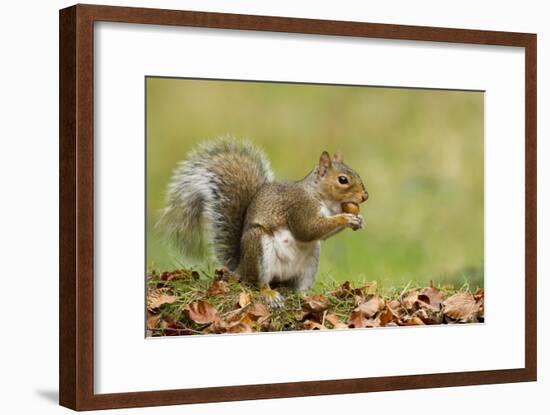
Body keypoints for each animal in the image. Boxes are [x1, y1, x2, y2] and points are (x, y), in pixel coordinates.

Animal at [157, 140, 368, 306]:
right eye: (343, 180)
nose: (365, 196)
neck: (320, 196)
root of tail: (241, 268)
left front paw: (358, 220)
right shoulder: (299, 206)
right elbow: (308, 229)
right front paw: (346, 218)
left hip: (310, 262)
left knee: (298, 287)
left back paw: (306, 296)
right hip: (259, 248)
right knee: (258, 283)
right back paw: (270, 294)